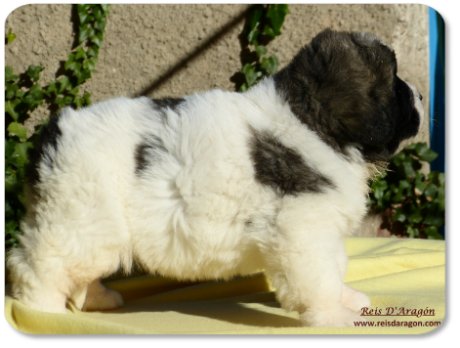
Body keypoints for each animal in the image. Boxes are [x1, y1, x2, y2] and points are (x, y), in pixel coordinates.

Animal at [7, 29, 424, 326]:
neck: (310, 121)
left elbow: (336, 268)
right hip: (83, 218)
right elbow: (319, 278)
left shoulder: (325, 227)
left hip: (87, 224)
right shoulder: (303, 231)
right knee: (38, 265)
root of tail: (54, 131)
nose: (421, 94)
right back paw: (44, 313)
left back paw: (97, 298)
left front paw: (347, 299)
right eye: (396, 81)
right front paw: (336, 317)